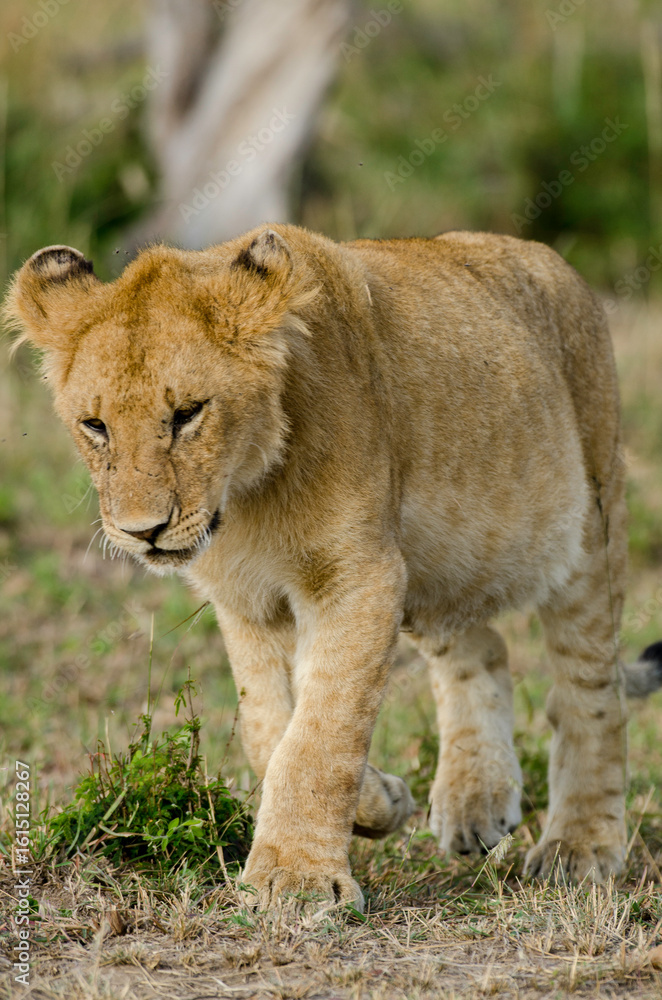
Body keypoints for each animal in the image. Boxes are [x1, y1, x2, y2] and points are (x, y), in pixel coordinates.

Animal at [5, 225, 662, 911]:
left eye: (188, 413)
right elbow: (270, 732)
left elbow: (323, 729)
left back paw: (578, 848)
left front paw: (295, 882)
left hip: (590, 522)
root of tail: (549, 259)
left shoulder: (360, 576)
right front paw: (381, 803)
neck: (247, 496)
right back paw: (476, 800)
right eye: (95, 425)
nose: (142, 532)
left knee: (591, 694)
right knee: (481, 648)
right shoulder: (247, 601)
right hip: (436, 568)